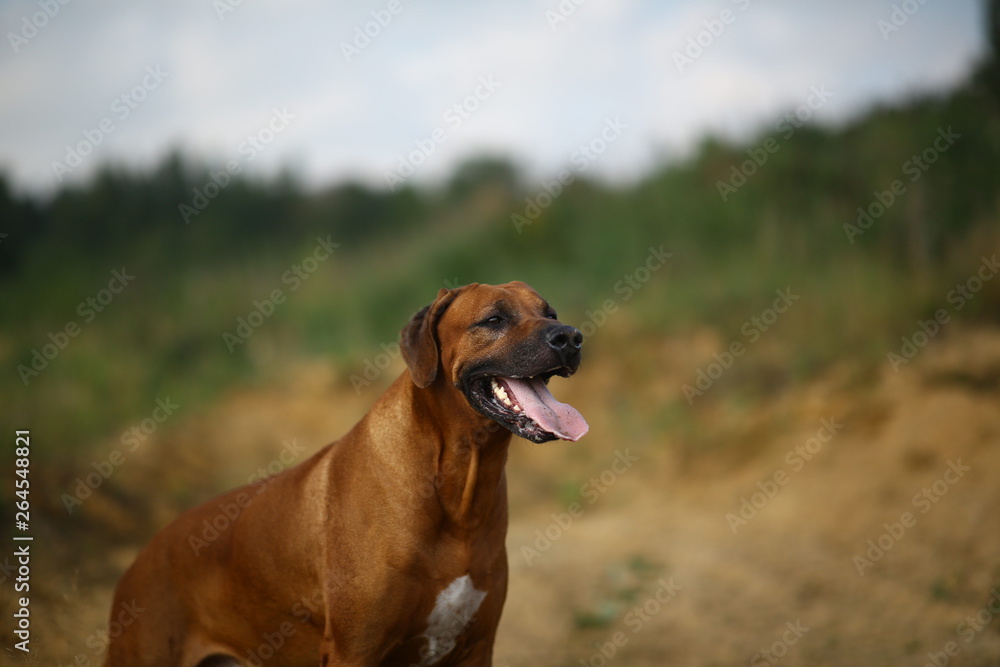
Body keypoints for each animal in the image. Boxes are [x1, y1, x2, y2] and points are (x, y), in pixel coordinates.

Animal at [103, 282, 584, 667]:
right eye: (493, 319)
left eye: (550, 313)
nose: (571, 337)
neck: (455, 486)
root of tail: (134, 564)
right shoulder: (354, 650)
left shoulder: (475, 648)